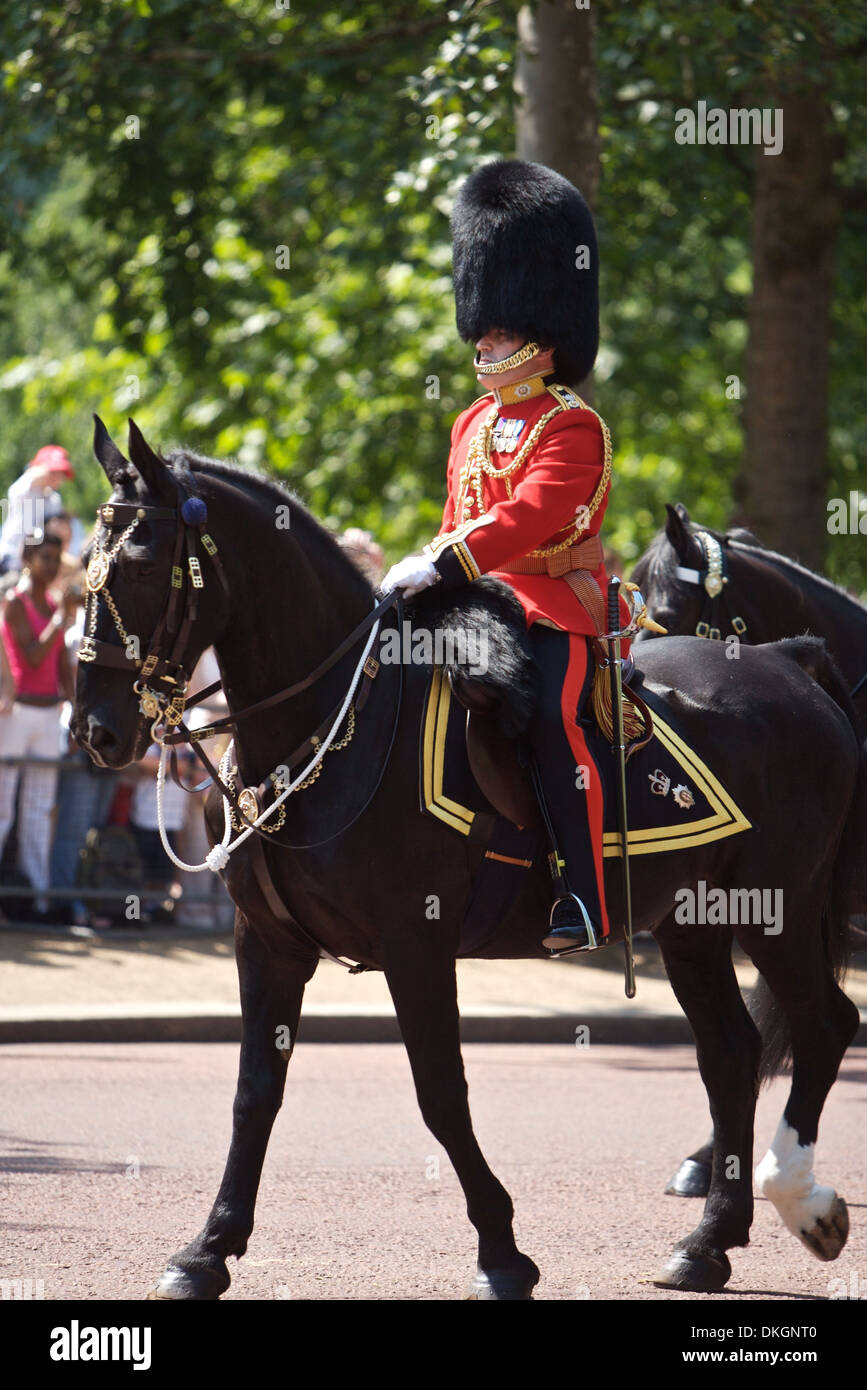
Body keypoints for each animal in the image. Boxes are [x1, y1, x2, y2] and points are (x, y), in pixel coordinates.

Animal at [71, 422, 861, 1301]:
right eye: (90, 562)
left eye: (142, 563)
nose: (96, 730)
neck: (328, 727)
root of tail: (786, 661)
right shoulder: (267, 943)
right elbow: (254, 1094)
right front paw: (206, 1250)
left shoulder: (416, 943)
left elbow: (441, 1093)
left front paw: (503, 1252)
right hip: (691, 923)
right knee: (730, 1053)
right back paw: (708, 1241)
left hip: (775, 906)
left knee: (824, 1024)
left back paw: (801, 1201)